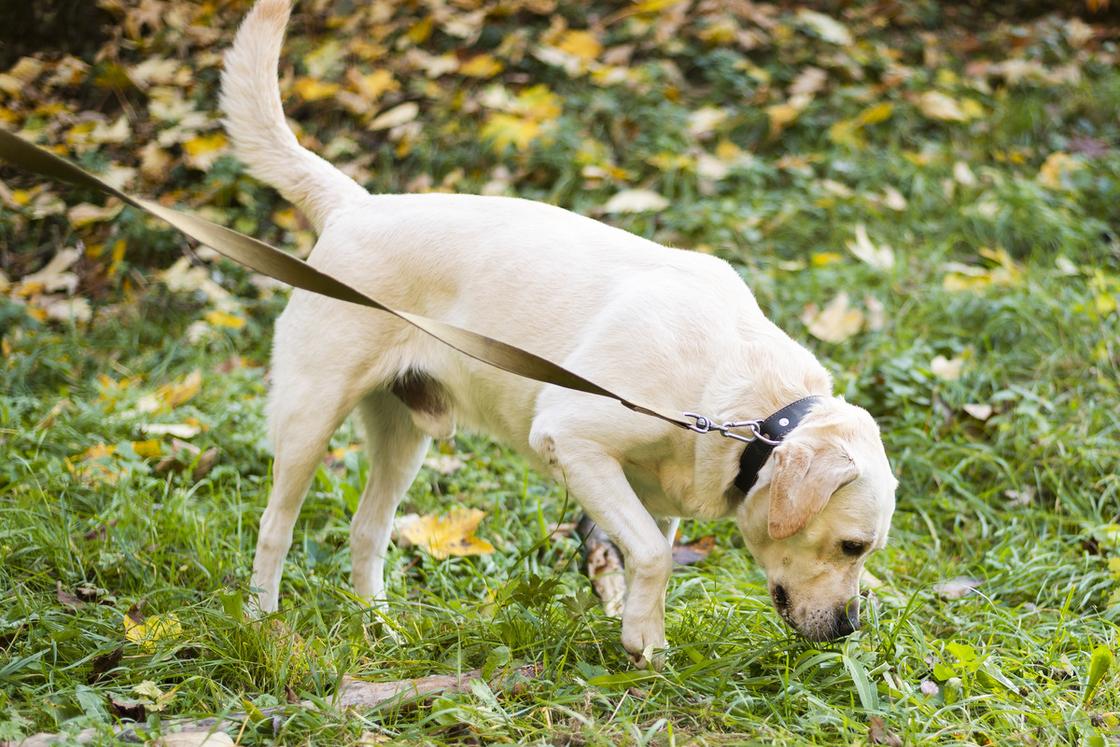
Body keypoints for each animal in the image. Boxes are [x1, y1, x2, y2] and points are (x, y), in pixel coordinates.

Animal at [222, 0, 896, 667]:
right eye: (852, 546)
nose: (849, 629)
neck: (746, 410)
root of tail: (355, 205)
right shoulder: (572, 438)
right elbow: (653, 555)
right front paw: (646, 641)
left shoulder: (650, 495)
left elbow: (647, 556)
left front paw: (639, 638)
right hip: (309, 419)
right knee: (274, 528)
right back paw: (263, 625)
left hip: (403, 437)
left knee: (368, 530)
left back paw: (380, 629)